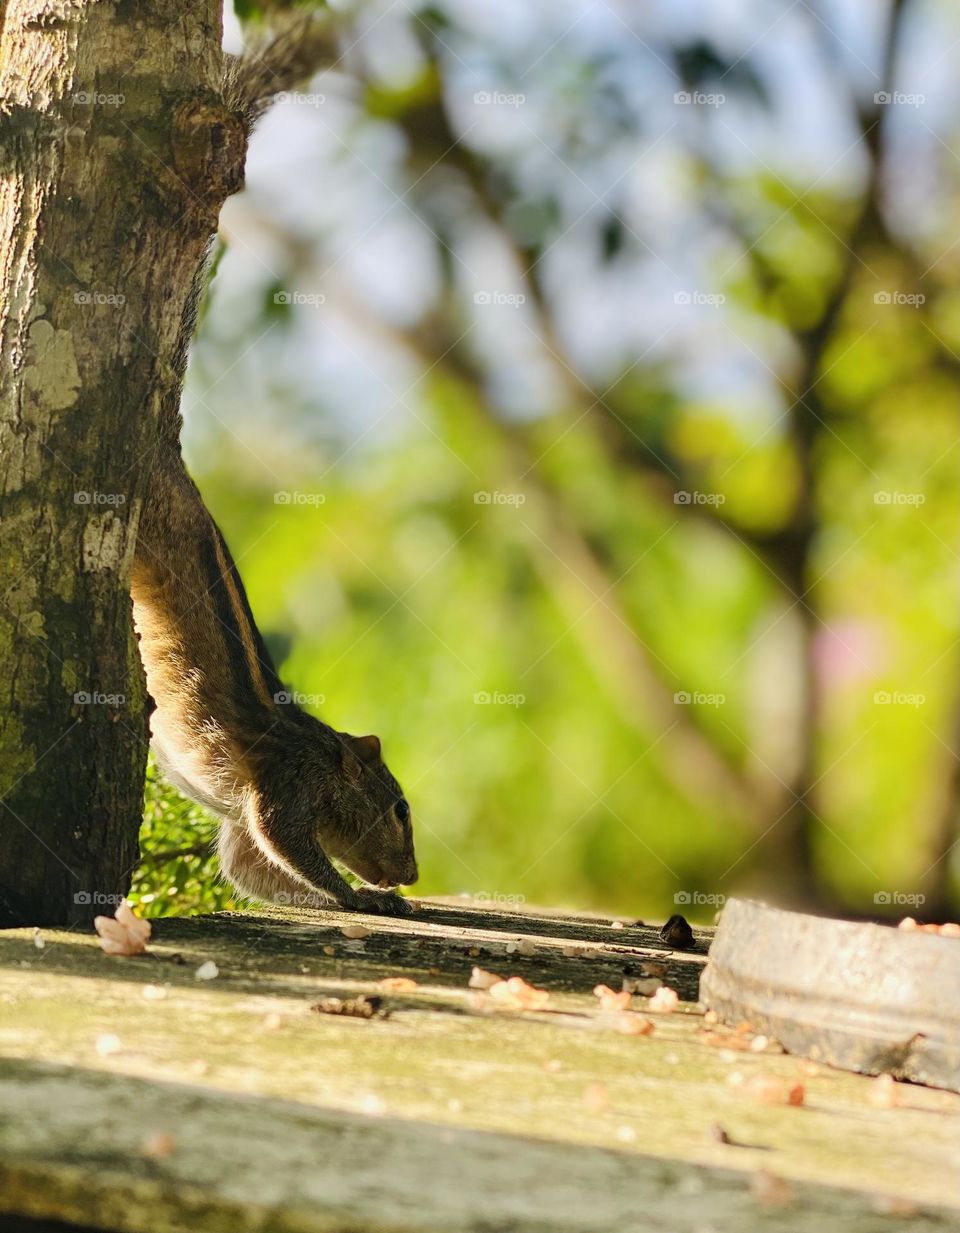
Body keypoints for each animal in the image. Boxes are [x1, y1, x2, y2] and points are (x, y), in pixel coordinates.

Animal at [129, 24, 417, 917]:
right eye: (397, 807)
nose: (414, 873)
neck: (320, 749)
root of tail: (172, 458)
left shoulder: (240, 825)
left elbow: (252, 871)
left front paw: (376, 902)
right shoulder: (282, 791)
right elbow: (292, 848)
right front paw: (363, 899)